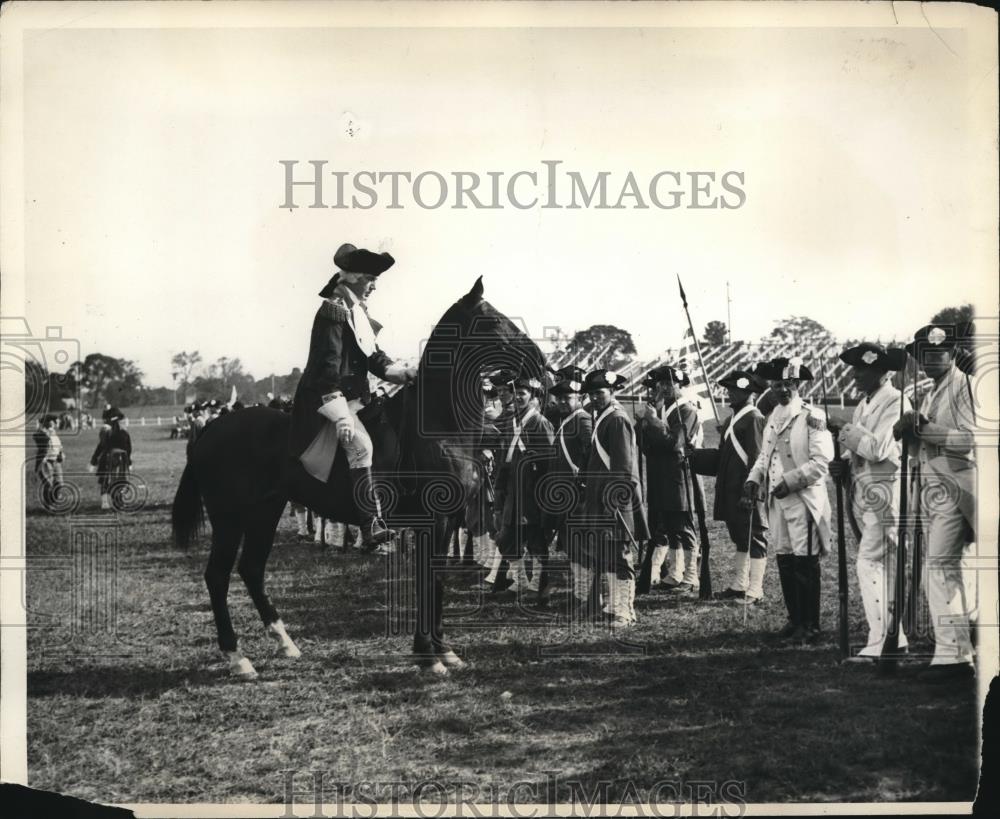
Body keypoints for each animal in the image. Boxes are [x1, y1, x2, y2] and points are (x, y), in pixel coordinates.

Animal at [172, 280, 548, 680]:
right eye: (492, 320)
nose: (540, 361)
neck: (440, 426)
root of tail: (212, 429)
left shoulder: (446, 522)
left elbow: (437, 581)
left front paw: (442, 651)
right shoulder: (433, 521)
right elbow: (429, 580)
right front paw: (428, 654)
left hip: (264, 514)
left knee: (251, 569)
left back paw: (286, 643)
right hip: (229, 519)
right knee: (218, 575)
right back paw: (237, 657)